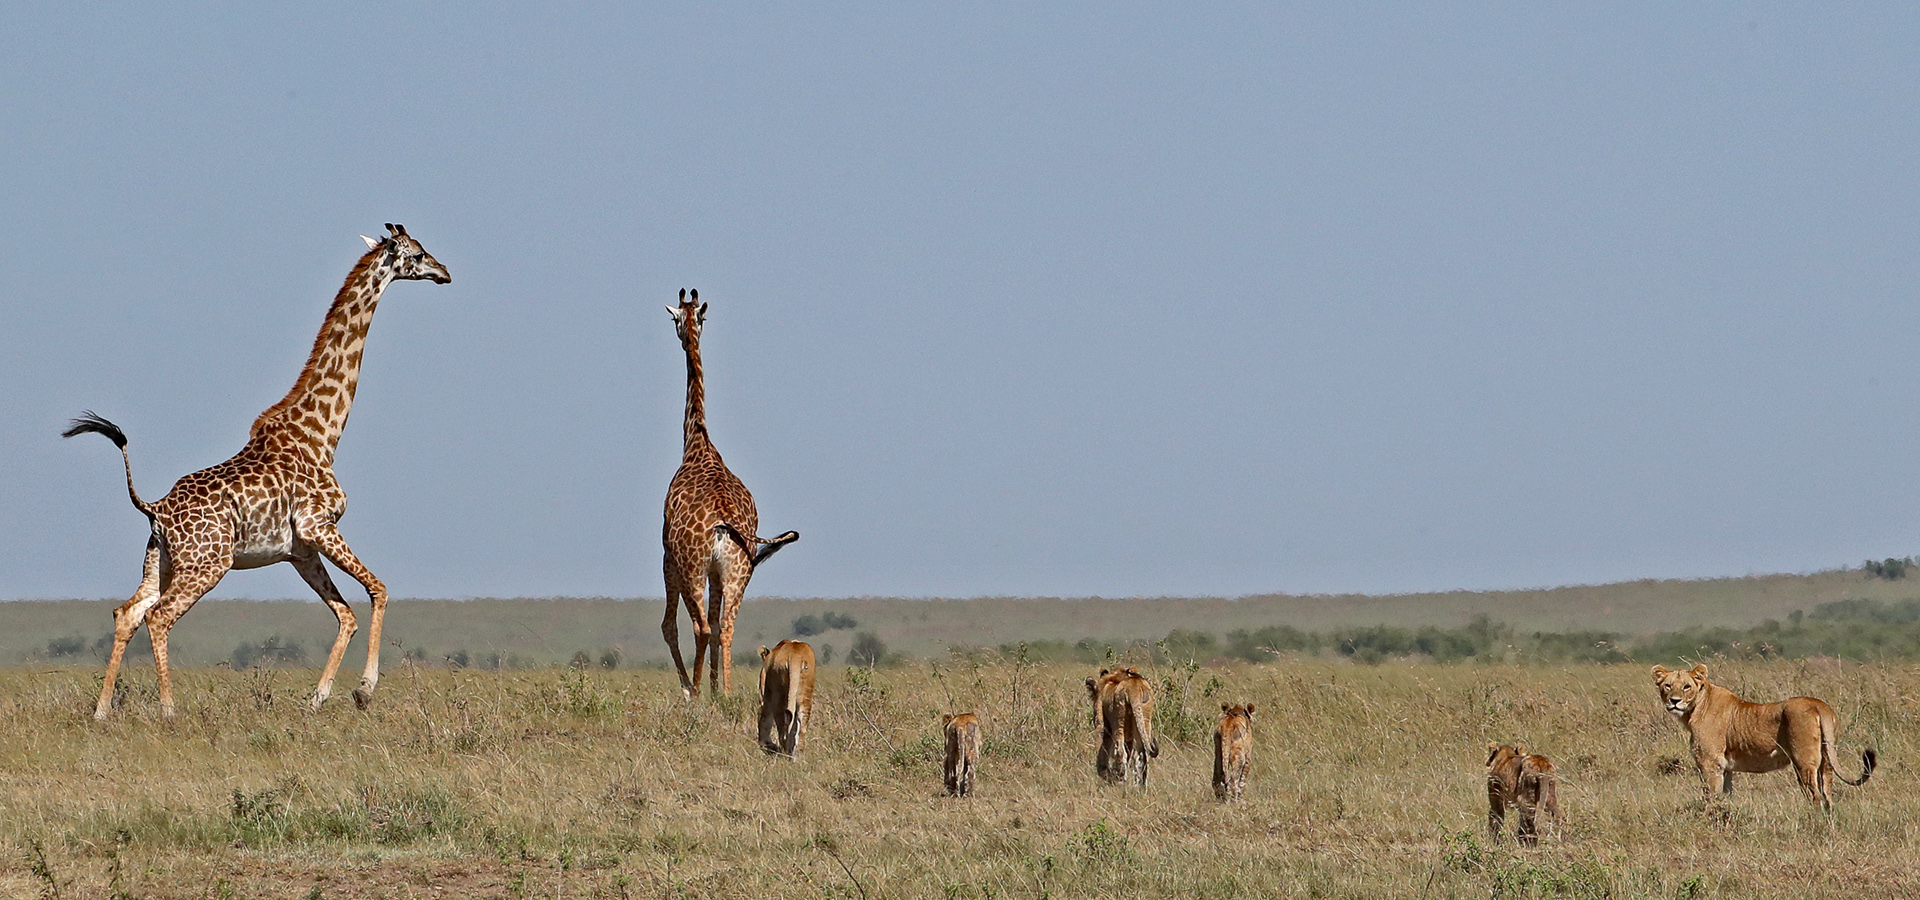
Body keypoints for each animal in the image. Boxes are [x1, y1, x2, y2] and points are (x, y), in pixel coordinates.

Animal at [60, 226, 453, 721]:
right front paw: (364, 690)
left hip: (162, 561)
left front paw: (318, 698)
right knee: (158, 616)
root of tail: (154, 508)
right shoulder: (319, 525)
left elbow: (345, 614)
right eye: (417, 254)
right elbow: (378, 590)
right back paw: (169, 711)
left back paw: (102, 711)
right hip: (208, 564)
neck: (321, 434)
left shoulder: (300, 549)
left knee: (127, 612)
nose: (445, 272)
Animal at [664, 287, 798, 694]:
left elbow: (670, 626)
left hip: (692, 568)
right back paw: (721, 691)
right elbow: (714, 621)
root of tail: (724, 524)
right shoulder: (715, 573)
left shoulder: (667, 556)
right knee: (725, 626)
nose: (683, 333)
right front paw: (712, 687)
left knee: (700, 627)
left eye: (676, 319)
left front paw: (692, 689)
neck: (698, 442)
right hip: (739, 571)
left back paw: (695, 691)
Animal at [1651, 660, 1873, 805]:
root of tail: (1819, 705)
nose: (1674, 701)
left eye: (1686, 686)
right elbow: (1726, 796)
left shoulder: (1710, 762)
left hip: (1804, 761)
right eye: (1667, 686)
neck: (1694, 708)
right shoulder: (1726, 767)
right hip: (1826, 761)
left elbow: (1710, 797)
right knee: (1828, 796)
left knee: (1816, 797)